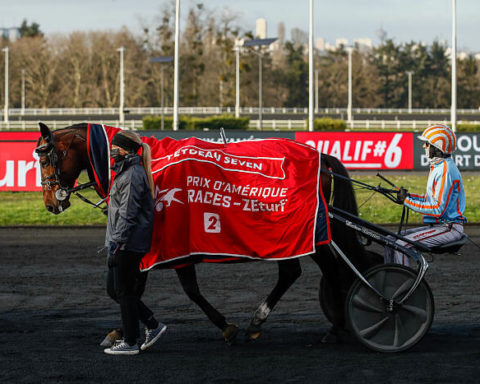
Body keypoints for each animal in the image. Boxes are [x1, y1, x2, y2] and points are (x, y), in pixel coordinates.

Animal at [36, 122, 378, 342]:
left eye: (46, 157)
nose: (51, 203)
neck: (147, 163)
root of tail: (320, 157)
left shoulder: (169, 240)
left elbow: (182, 289)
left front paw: (224, 326)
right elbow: (124, 288)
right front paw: (124, 329)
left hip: (307, 231)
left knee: (328, 269)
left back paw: (339, 323)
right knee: (292, 272)